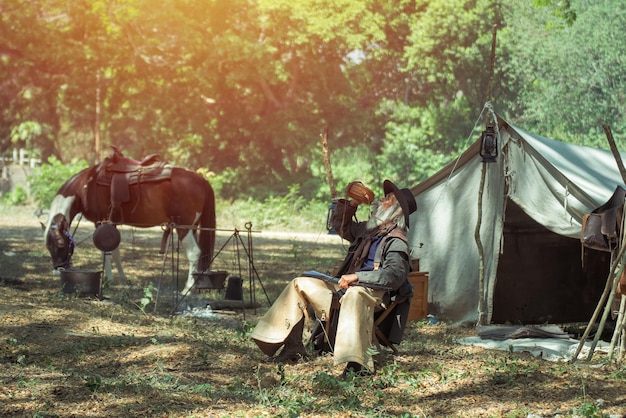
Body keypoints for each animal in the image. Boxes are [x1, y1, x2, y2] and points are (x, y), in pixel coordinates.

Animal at [43, 151, 214, 294]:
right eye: (48, 246)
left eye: (60, 243)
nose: (57, 270)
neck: (87, 185)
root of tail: (201, 180)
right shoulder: (111, 223)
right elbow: (115, 252)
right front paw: (122, 279)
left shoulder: (101, 222)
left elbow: (106, 252)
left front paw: (108, 280)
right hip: (192, 227)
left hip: (184, 227)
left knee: (194, 252)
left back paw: (187, 289)